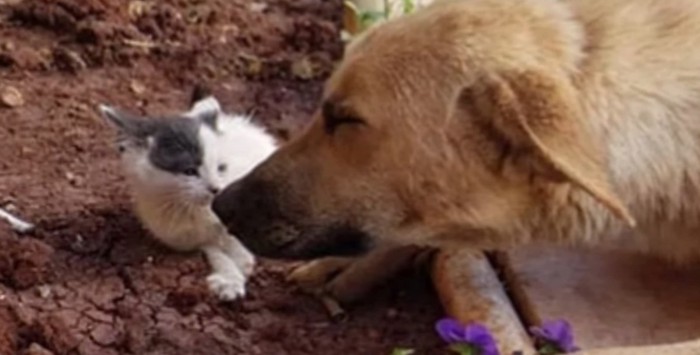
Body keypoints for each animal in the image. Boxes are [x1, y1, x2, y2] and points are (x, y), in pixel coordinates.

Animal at [99, 93, 278, 302]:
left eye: (222, 168)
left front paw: (241, 262)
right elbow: (214, 250)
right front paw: (230, 278)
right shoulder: (188, 239)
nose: (216, 189)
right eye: (189, 171)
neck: (197, 208)